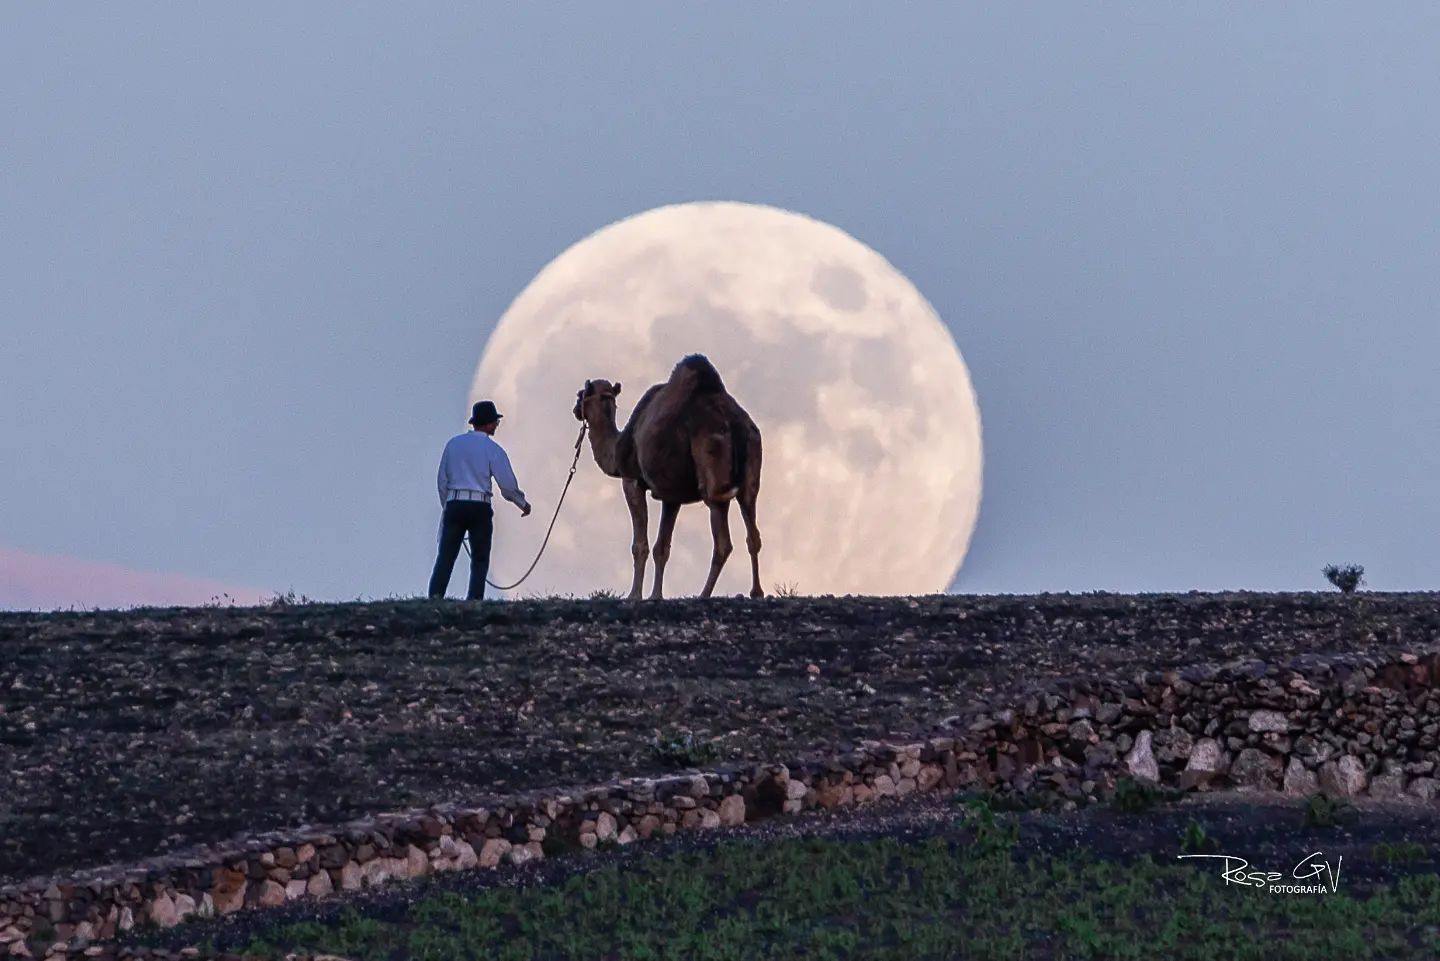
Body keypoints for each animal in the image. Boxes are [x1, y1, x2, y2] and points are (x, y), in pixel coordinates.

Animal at [570, 355, 766, 602]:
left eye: (581, 394)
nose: (575, 409)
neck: (616, 449)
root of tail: (735, 422)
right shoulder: (671, 496)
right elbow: (662, 547)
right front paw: (656, 595)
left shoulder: (632, 481)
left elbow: (640, 545)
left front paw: (635, 595)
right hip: (751, 468)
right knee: (753, 532)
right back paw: (756, 592)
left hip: (713, 467)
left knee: (723, 542)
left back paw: (703, 594)